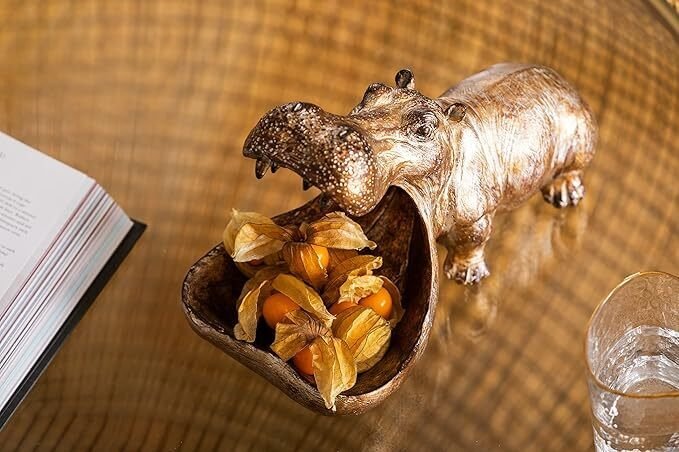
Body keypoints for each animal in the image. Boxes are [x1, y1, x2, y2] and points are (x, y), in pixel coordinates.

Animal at [243, 63, 597, 284]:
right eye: (372, 89)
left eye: (424, 129)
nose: (311, 131)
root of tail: (565, 82)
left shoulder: (474, 215)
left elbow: (472, 240)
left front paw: (465, 278)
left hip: (579, 131)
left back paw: (564, 196)